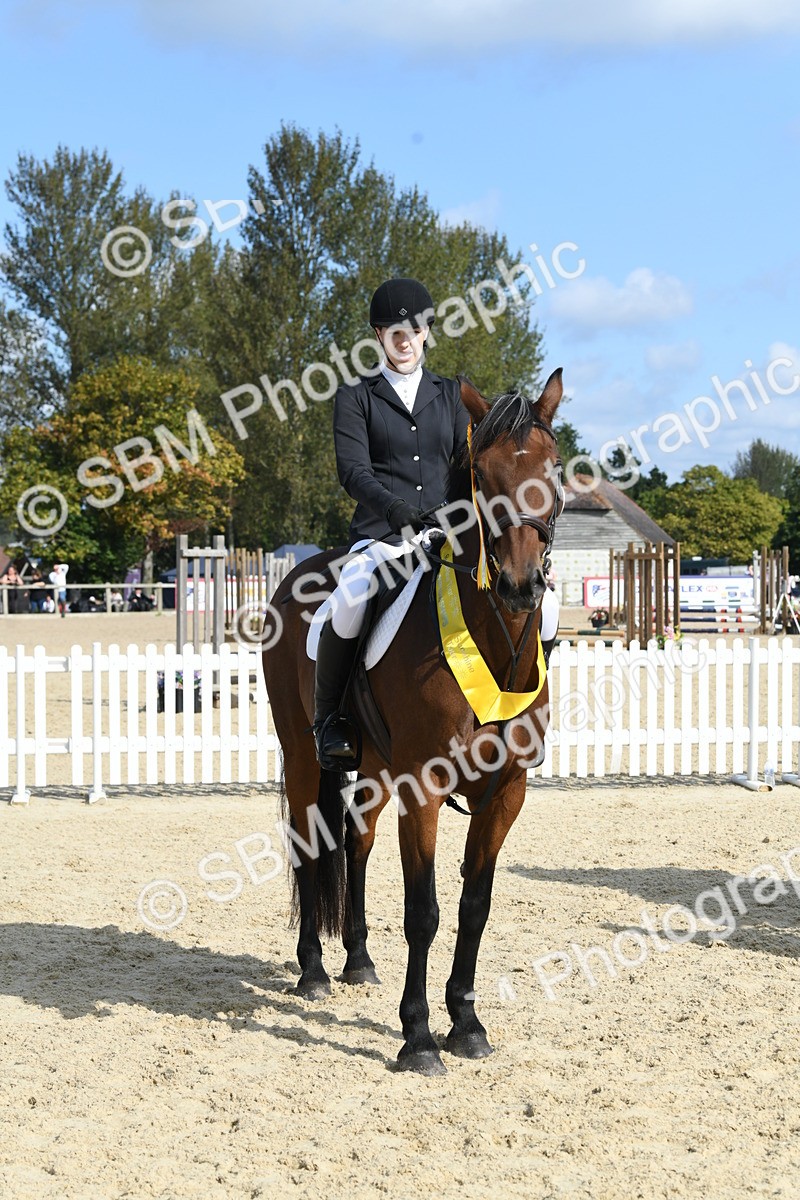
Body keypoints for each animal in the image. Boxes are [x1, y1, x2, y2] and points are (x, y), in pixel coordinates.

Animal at [262, 368, 564, 1075]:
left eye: (554, 468)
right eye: (483, 474)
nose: (519, 586)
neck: (498, 645)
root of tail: (299, 572)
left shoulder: (506, 792)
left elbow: (475, 905)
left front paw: (467, 1024)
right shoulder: (422, 788)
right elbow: (423, 910)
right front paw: (419, 1037)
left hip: (371, 769)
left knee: (355, 841)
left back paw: (358, 960)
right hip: (304, 756)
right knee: (311, 845)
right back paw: (313, 971)